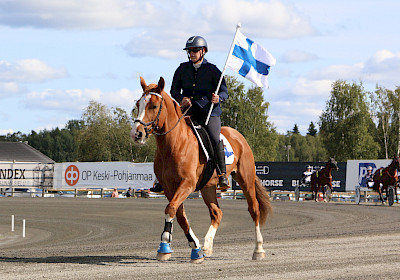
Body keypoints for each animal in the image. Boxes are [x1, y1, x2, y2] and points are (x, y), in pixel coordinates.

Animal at [131, 76, 272, 262]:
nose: (137, 134)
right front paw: (195, 247)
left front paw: (165, 244)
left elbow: (171, 209)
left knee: (254, 209)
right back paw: (207, 246)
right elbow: (179, 214)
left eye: (154, 106)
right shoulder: (169, 187)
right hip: (208, 187)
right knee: (217, 213)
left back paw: (258, 250)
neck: (174, 144)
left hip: (245, 180)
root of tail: (238, 136)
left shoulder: (187, 184)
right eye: (138, 104)